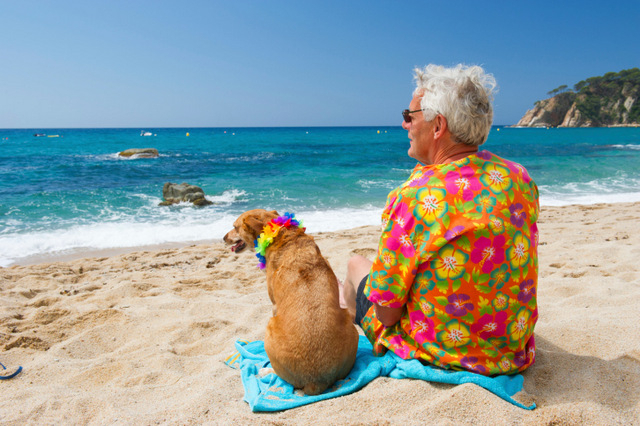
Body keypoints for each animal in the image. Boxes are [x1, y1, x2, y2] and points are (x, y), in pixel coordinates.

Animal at [222, 210, 358, 396]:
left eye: (235, 227)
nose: (223, 238)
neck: (281, 235)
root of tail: (316, 382)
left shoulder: (274, 305)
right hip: (350, 325)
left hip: (270, 328)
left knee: (279, 374)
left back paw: (266, 370)